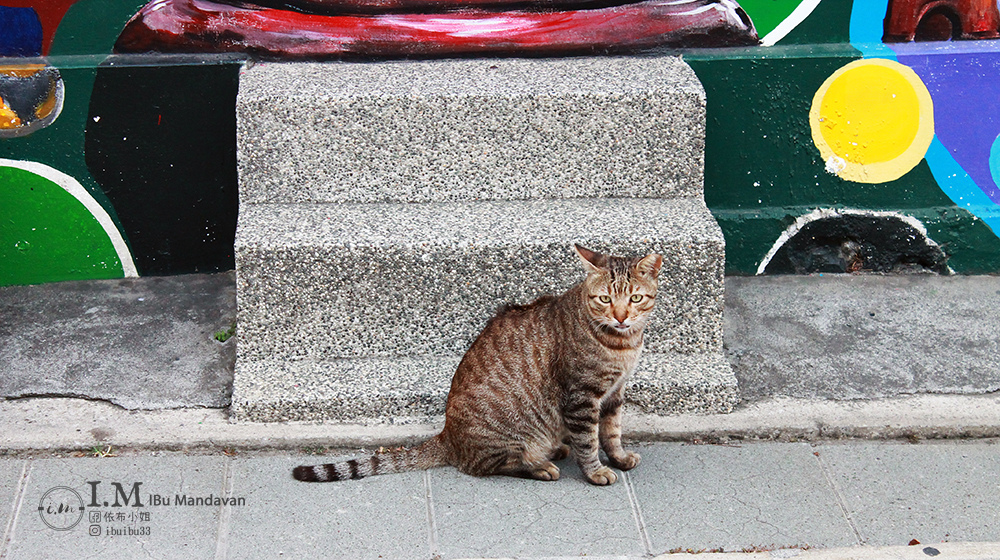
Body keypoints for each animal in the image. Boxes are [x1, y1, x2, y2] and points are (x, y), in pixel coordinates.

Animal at [292, 245, 660, 486]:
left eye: (635, 298)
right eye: (605, 299)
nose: (621, 316)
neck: (623, 344)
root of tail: (447, 436)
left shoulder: (614, 393)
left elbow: (611, 433)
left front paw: (619, 457)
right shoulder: (582, 397)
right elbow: (588, 441)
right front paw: (596, 471)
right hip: (506, 433)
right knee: (491, 465)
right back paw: (539, 465)